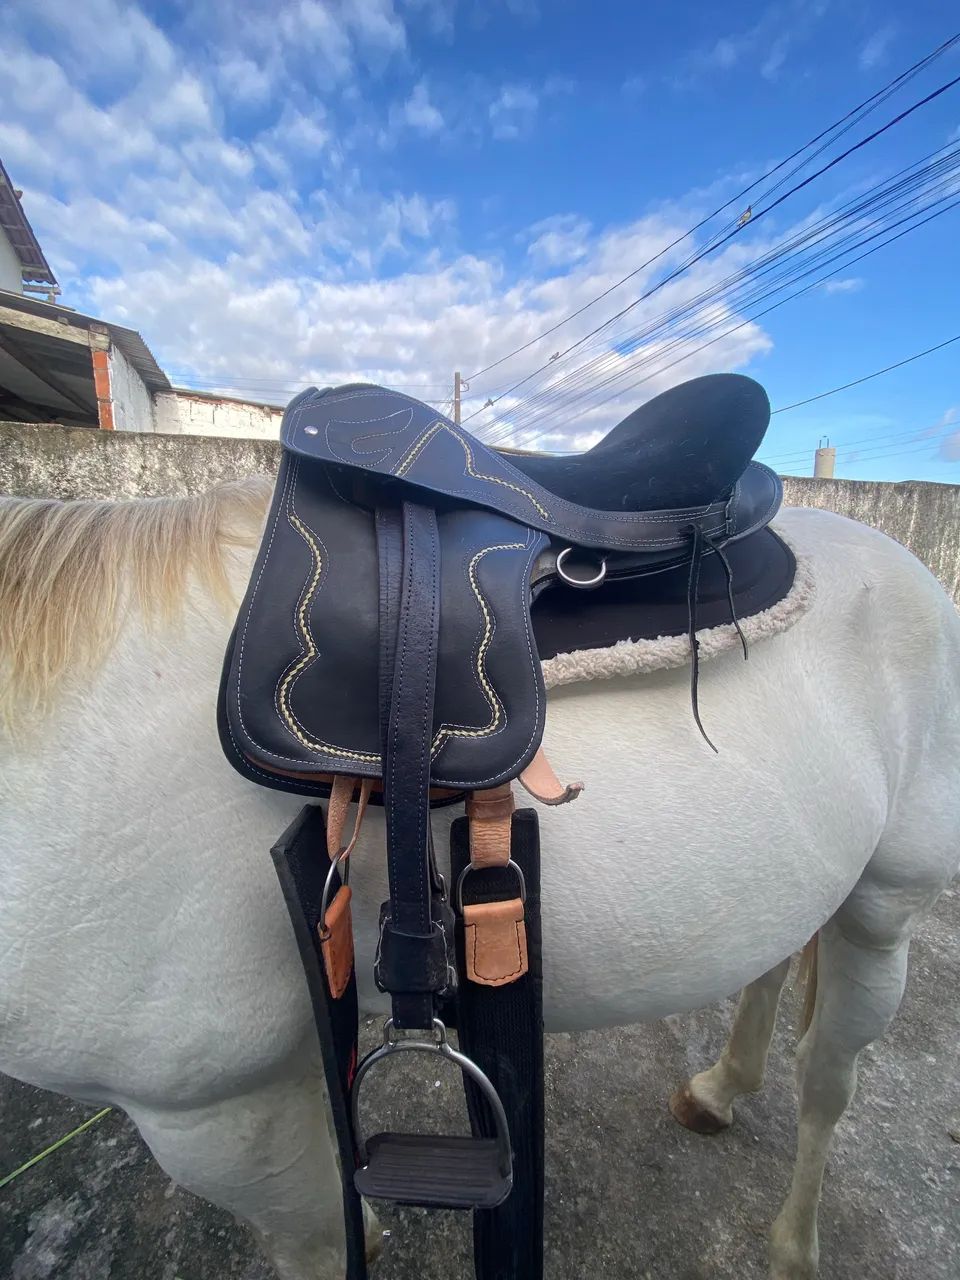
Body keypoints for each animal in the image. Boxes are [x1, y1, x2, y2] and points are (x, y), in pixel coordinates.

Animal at [1, 476, 958, 1280]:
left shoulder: (212, 1112)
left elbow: (321, 1243)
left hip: (886, 902)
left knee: (829, 1074)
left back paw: (795, 1245)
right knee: (775, 955)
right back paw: (719, 1090)